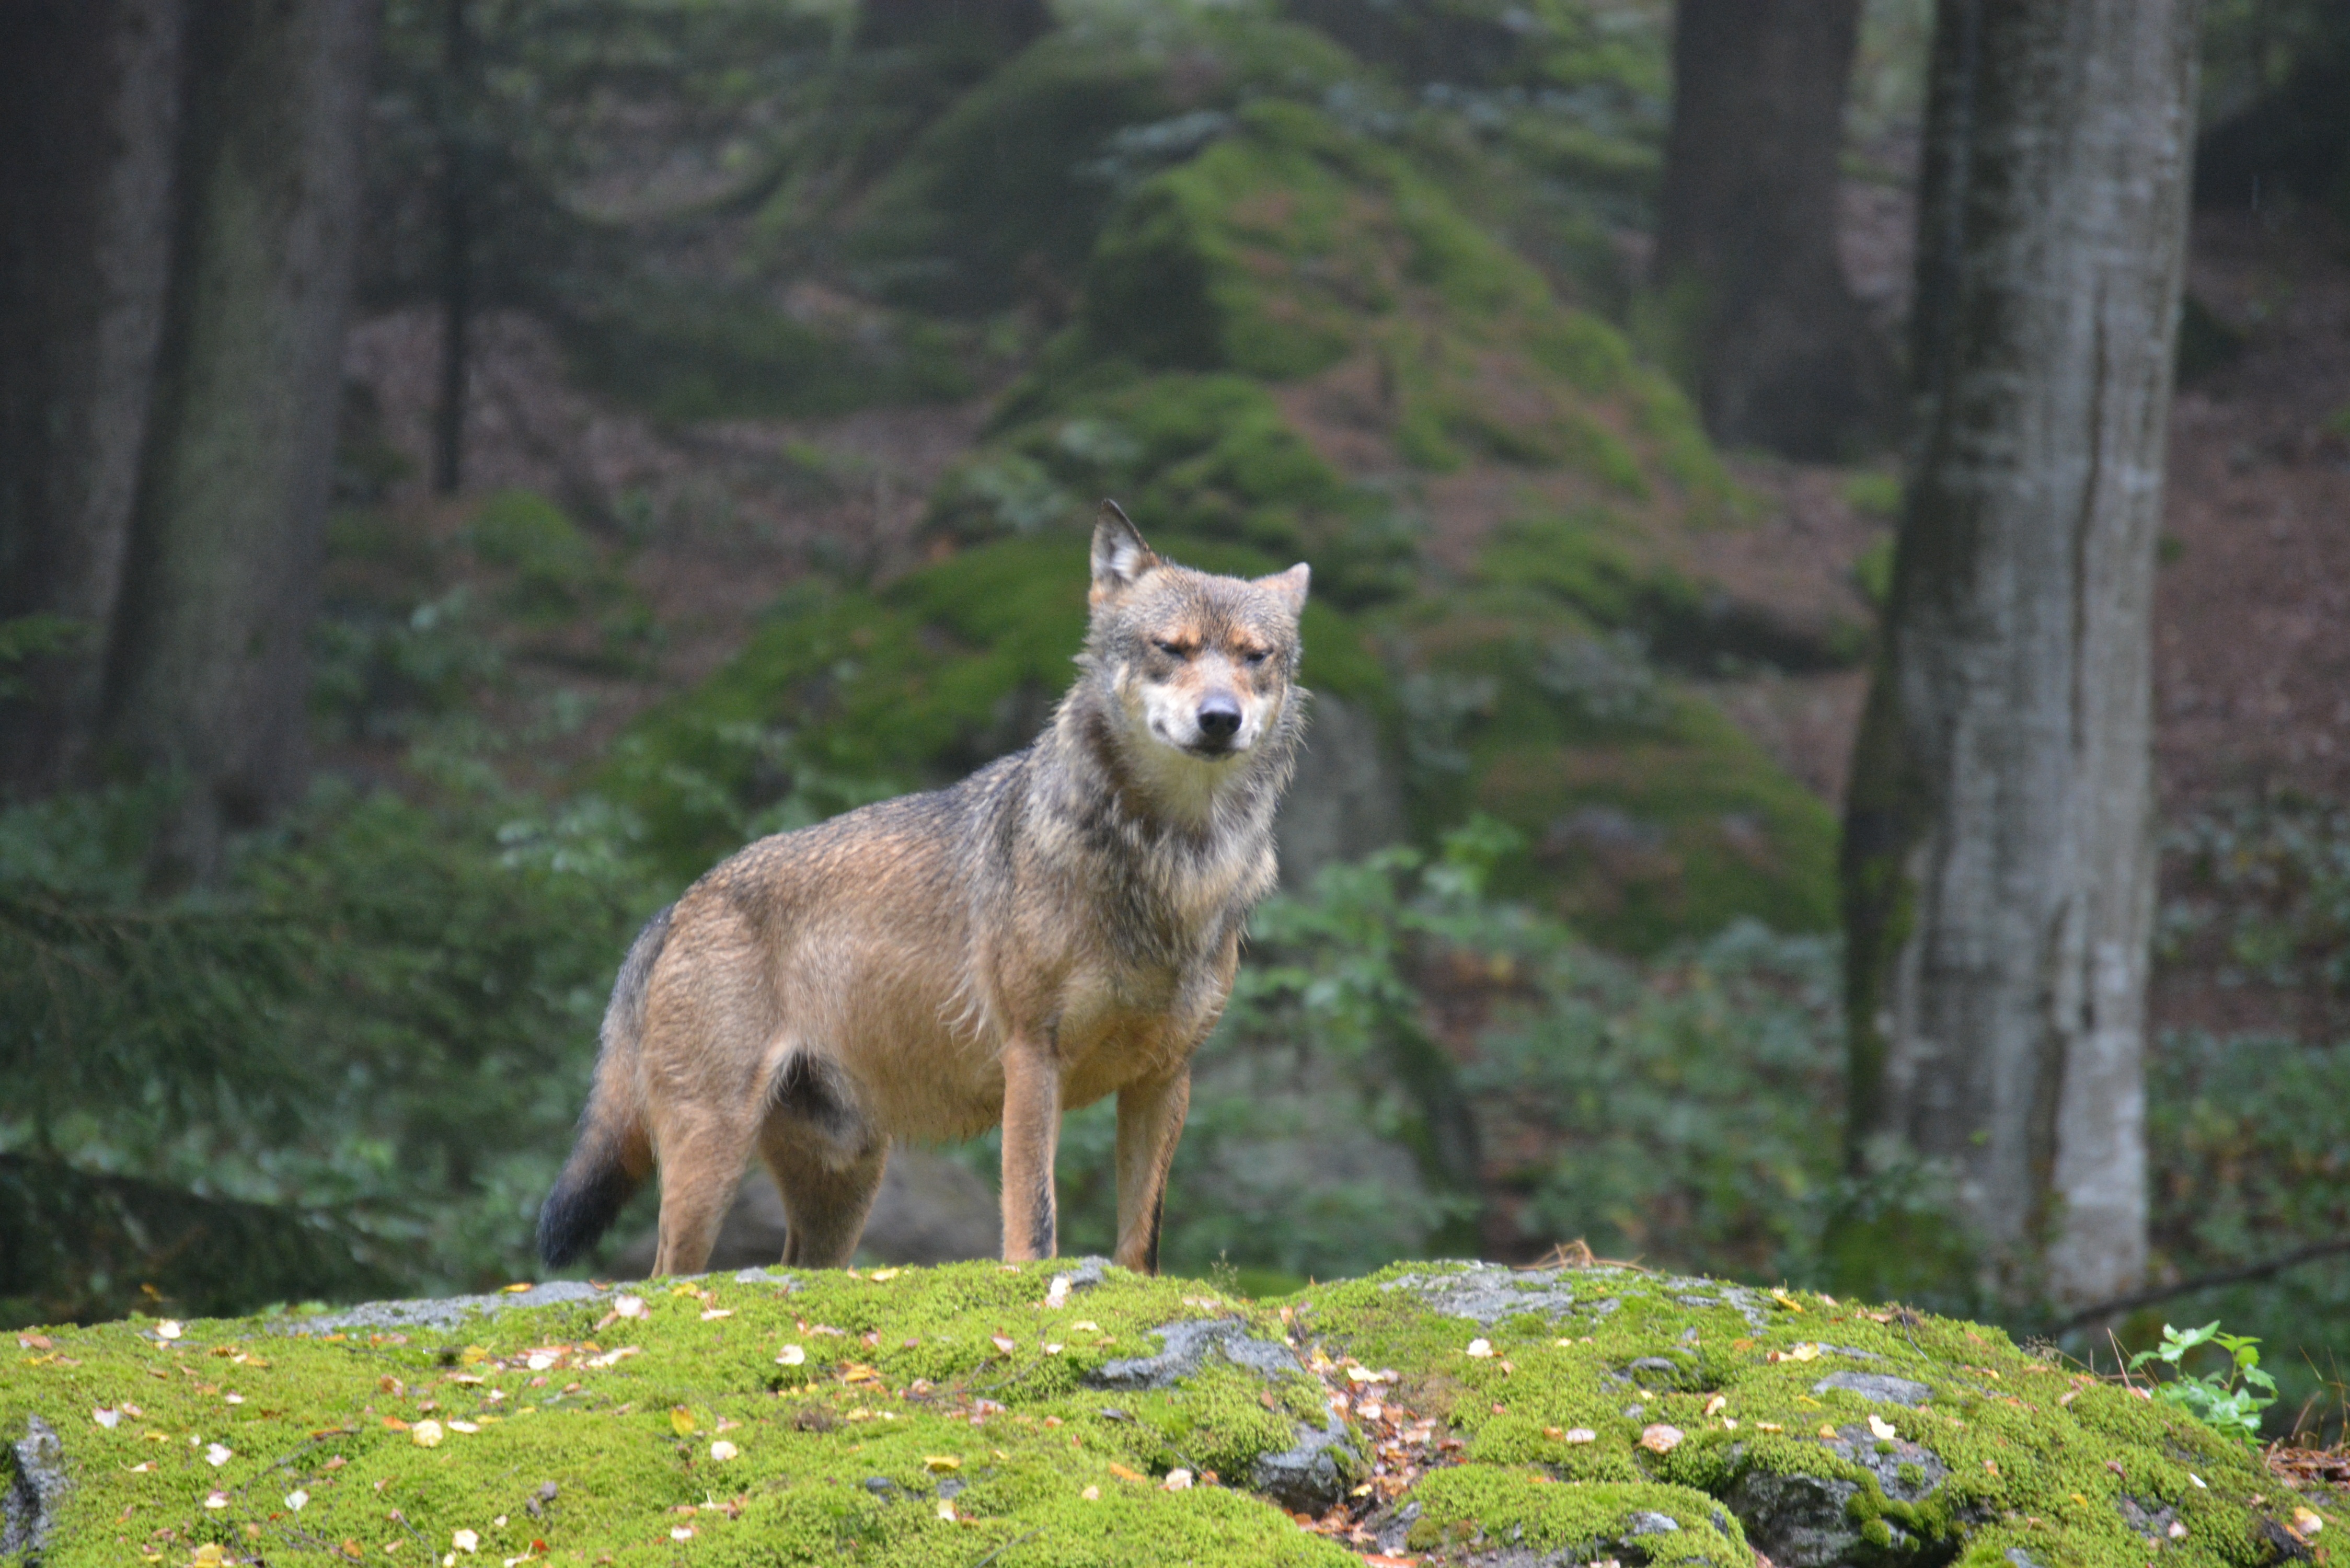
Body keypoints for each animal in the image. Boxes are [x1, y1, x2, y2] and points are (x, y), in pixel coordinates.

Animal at [538, 503, 1306, 1278]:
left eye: (1254, 657)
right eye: (1171, 649)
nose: (1220, 718)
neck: (1169, 858)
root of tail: (677, 906)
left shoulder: (1166, 1076)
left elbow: (1140, 1241)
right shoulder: (1032, 1057)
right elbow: (1034, 1217)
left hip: (843, 1189)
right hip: (711, 1161)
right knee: (667, 1276)